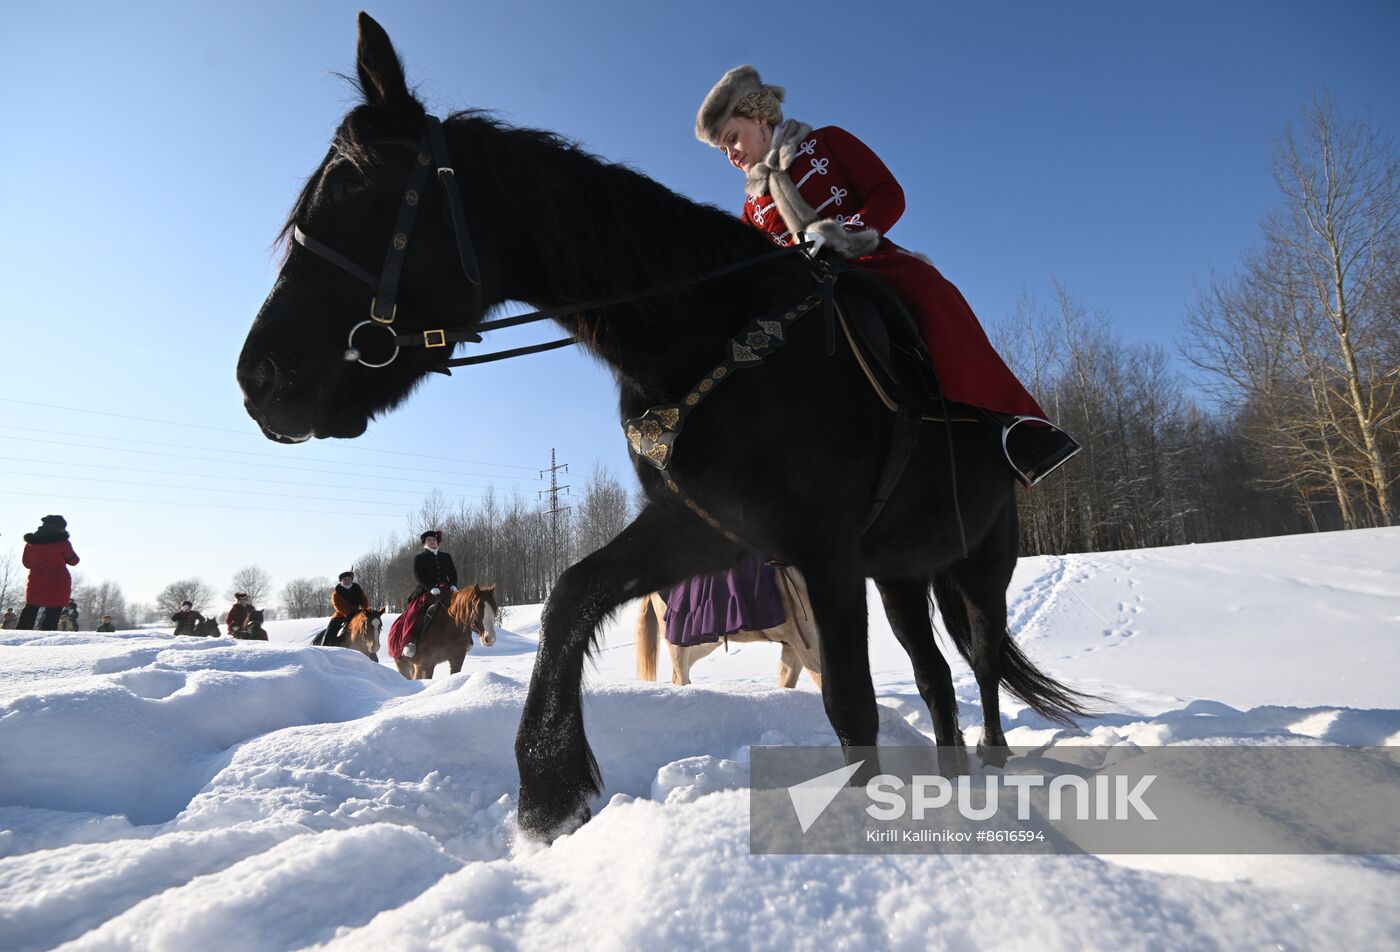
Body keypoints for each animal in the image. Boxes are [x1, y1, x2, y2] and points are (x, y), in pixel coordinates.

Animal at [238, 14, 1092, 840]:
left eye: (356, 187)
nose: (257, 380)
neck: (713, 333)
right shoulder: (709, 528)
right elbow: (571, 594)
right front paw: (550, 789)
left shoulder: (825, 548)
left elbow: (852, 707)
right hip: (903, 574)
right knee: (936, 675)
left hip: (979, 563)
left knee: (980, 660)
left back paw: (990, 764)